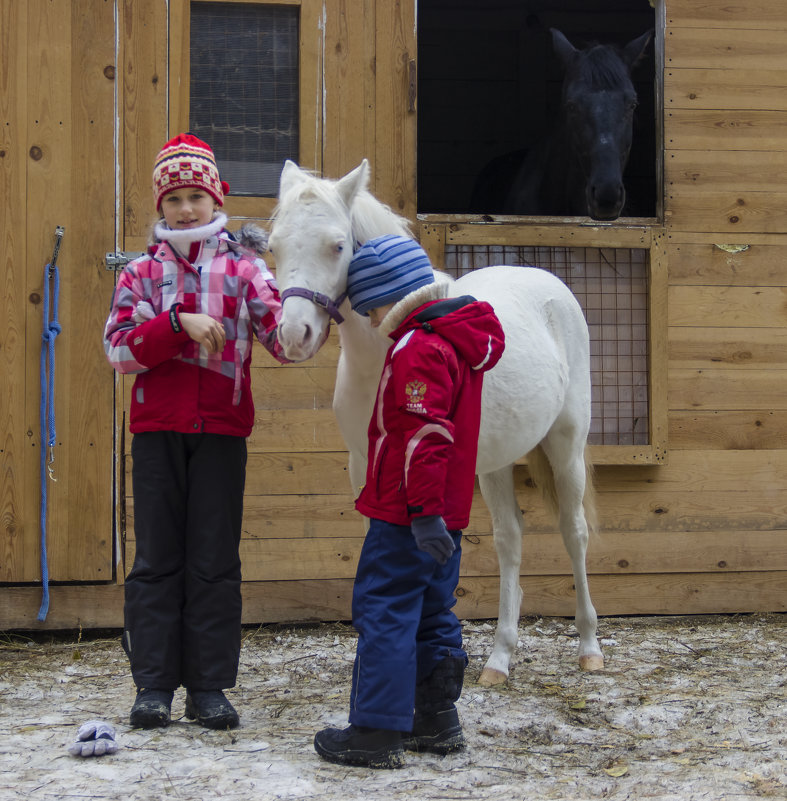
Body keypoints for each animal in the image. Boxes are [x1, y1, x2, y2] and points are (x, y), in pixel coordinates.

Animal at [268, 159, 608, 684]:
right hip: (495, 464)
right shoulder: (364, 465)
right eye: (274, 246)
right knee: (510, 539)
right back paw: (500, 658)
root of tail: (548, 285)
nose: (294, 334)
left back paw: (589, 647)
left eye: (338, 245)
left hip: (565, 445)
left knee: (574, 532)